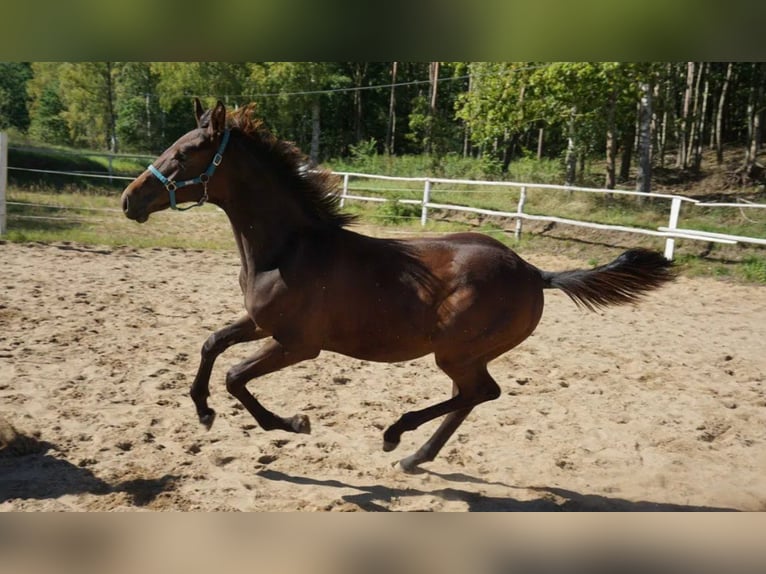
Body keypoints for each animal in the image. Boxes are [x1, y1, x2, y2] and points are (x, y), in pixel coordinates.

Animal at [121, 101, 680, 474]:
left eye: (186, 153)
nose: (129, 200)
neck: (288, 250)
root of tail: (533, 271)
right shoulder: (260, 322)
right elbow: (211, 344)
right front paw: (203, 411)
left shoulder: (299, 344)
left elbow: (236, 376)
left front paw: (294, 424)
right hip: (465, 354)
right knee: (472, 396)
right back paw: (415, 455)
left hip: (456, 351)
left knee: (480, 392)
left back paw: (396, 435)